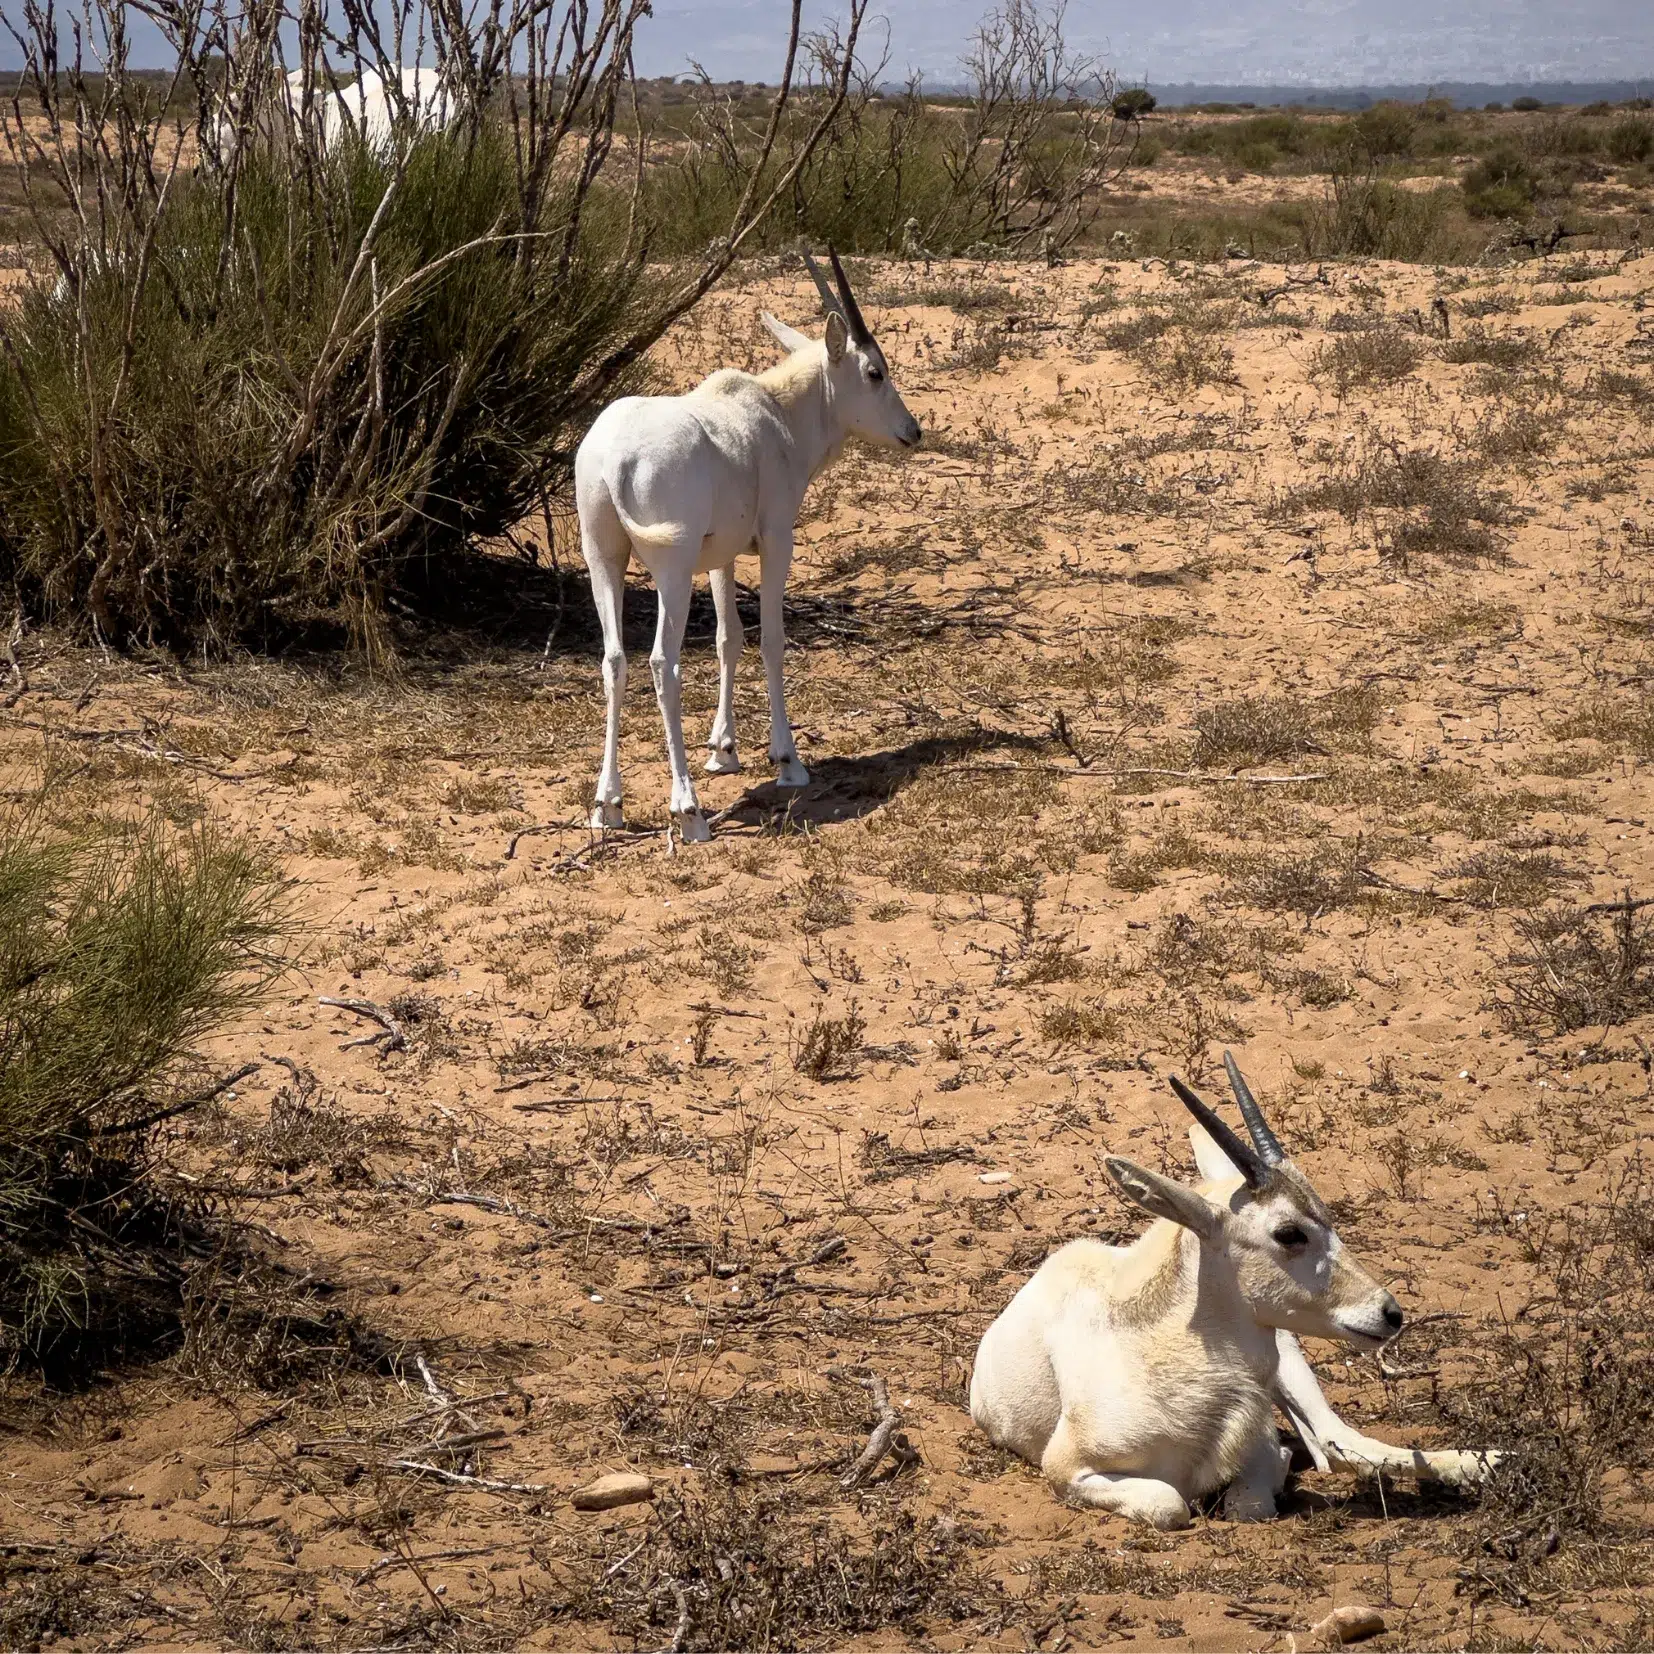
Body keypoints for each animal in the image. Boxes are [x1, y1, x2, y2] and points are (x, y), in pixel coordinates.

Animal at [573, 250, 920, 842]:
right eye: (876, 371)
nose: (912, 431)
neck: (778, 414)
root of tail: (615, 456)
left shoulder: (723, 557)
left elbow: (728, 638)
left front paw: (724, 751)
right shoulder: (778, 539)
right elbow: (771, 640)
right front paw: (788, 761)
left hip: (604, 557)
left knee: (614, 659)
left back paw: (608, 805)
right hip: (671, 567)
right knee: (662, 662)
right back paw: (688, 811)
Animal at [970, 1054, 1500, 1527]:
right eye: (1289, 1233)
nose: (1389, 1313)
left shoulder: (1259, 1444)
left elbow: (1251, 1502)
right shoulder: (1066, 1468)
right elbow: (1171, 1503)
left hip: (1288, 1360)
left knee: (1337, 1441)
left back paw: (1487, 1460)